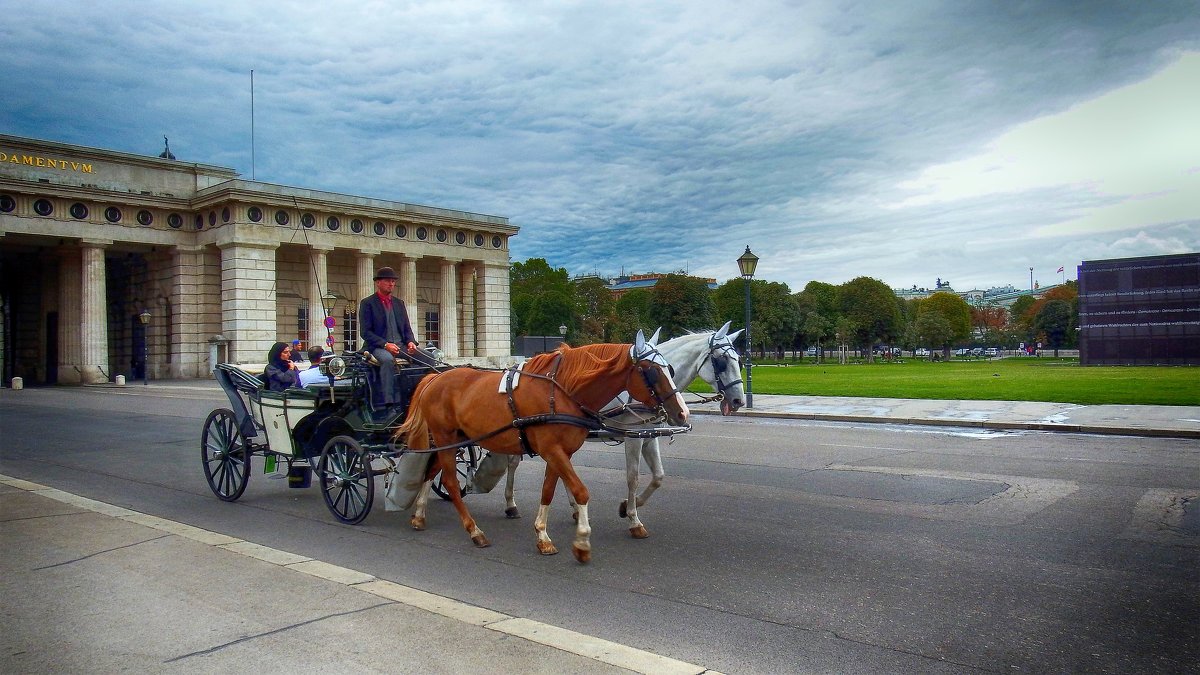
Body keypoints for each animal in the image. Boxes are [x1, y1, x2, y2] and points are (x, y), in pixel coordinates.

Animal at [398, 331, 691, 562]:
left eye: (670, 369)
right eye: (652, 371)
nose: (683, 413)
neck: (562, 393)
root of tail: (436, 377)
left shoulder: (560, 452)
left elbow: (549, 491)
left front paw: (542, 535)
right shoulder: (553, 450)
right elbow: (581, 491)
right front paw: (582, 540)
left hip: (454, 439)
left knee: (431, 472)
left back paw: (419, 515)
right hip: (446, 439)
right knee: (448, 480)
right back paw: (474, 530)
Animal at [482, 324, 744, 538]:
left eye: (739, 360)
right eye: (721, 361)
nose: (739, 400)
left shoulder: (649, 437)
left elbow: (658, 477)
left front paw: (628, 505)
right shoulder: (633, 438)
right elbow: (633, 477)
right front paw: (634, 519)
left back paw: (574, 509)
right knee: (514, 462)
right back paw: (511, 504)